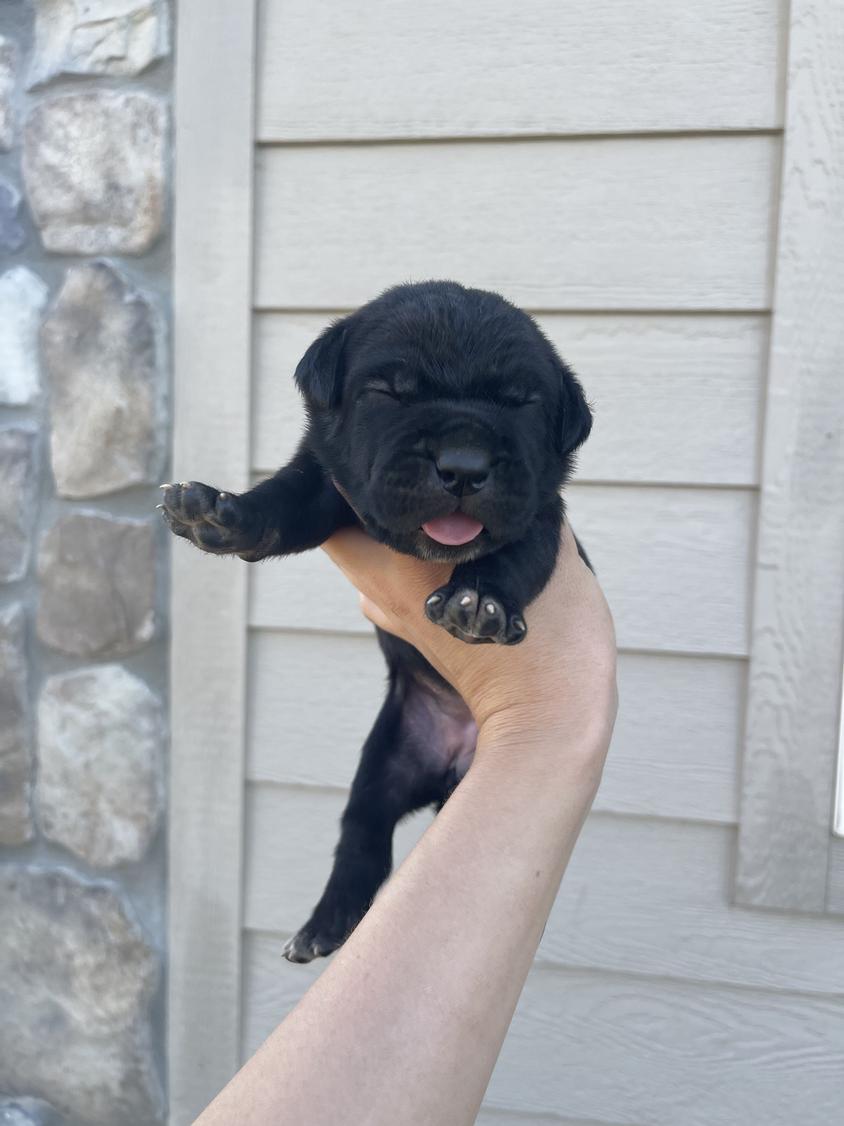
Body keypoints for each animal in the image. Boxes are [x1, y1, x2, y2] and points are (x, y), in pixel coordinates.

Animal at [159, 281, 594, 959]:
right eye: (389, 393)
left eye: (522, 404)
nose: (464, 464)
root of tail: (451, 762)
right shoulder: (322, 482)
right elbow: (281, 500)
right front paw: (223, 516)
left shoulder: (540, 514)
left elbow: (511, 555)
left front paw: (482, 604)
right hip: (383, 764)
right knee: (361, 835)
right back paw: (325, 924)